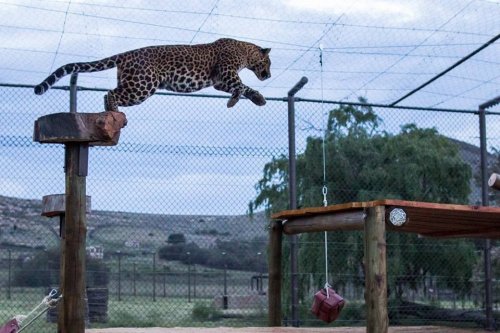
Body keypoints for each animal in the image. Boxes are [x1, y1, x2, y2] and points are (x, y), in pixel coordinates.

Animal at [34, 37, 272, 110]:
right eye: (269, 62)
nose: (269, 75)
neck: (245, 50)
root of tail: (127, 54)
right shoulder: (226, 72)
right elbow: (241, 85)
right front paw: (240, 100)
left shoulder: (219, 81)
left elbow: (243, 87)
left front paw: (255, 98)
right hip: (142, 86)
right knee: (110, 93)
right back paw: (114, 112)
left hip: (132, 82)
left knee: (109, 93)